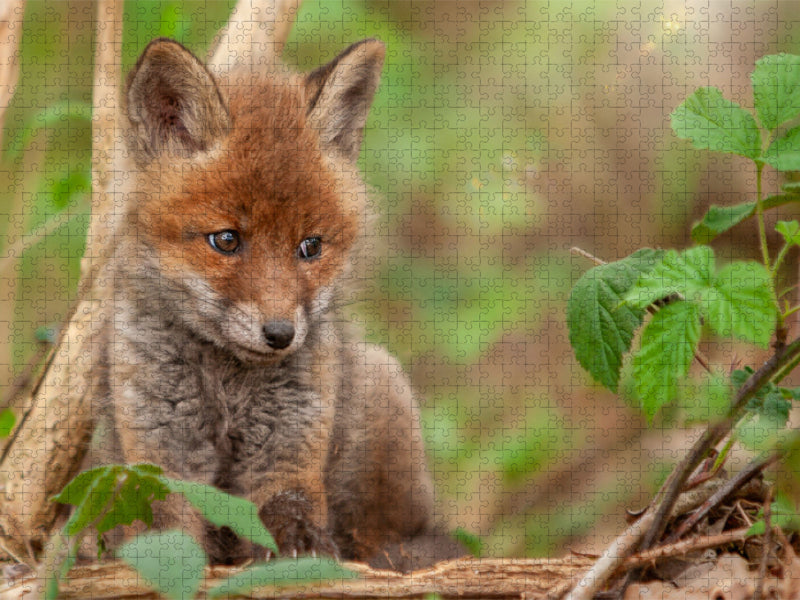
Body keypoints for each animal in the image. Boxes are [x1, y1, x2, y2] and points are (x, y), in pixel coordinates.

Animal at [90, 38, 460, 572]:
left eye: (311, 246)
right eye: (226, 240)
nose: (281, 334)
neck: (228, 383)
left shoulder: (290, 442)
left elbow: (290, 504)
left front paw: (302, 548)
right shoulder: (161, 448)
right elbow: (164, 532)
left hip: (380, 384)